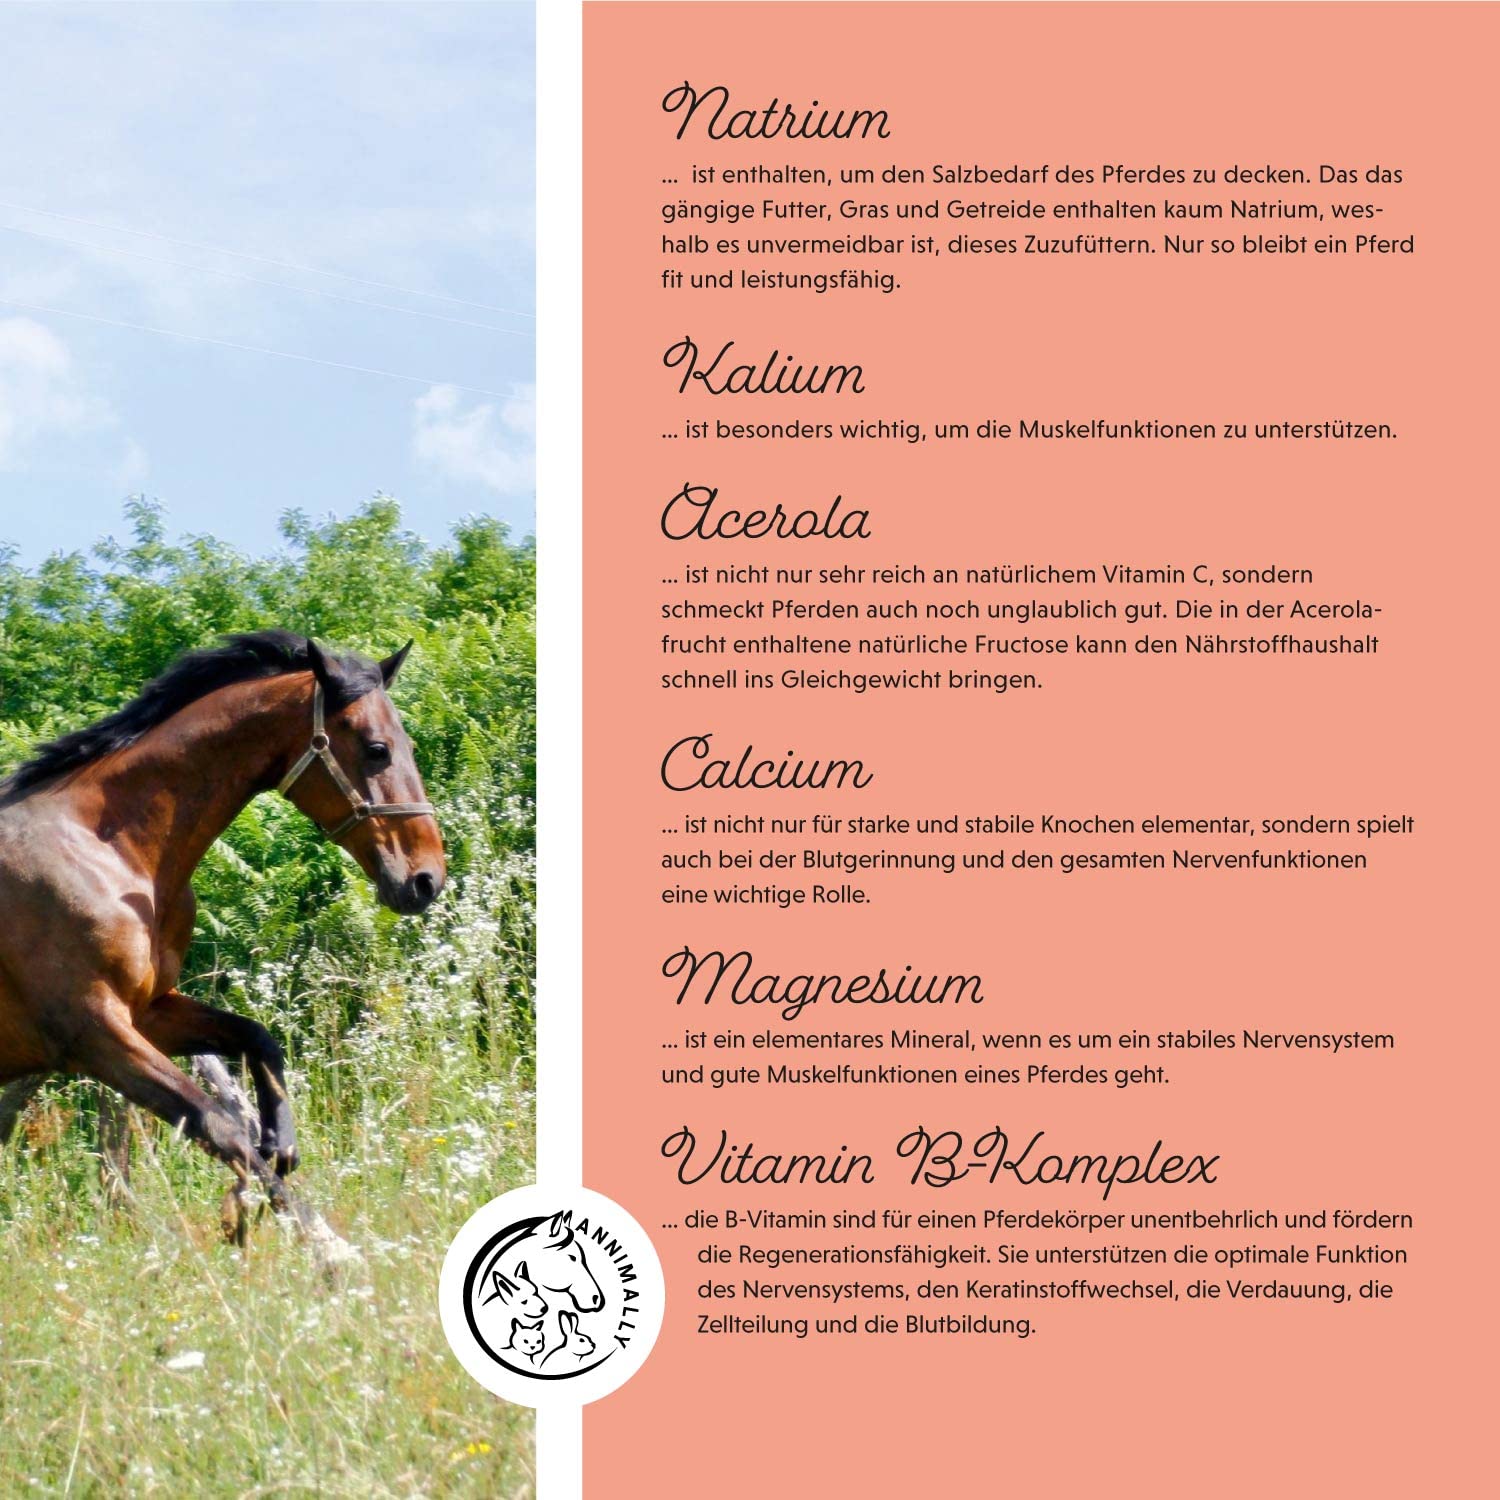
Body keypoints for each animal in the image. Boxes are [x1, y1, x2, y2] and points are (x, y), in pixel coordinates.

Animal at [0, 630, 444, 1231]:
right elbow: (219, 1127)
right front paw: (320, 1242)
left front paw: (282, 1143)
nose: (426, 880)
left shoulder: (148, 1011)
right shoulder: (94, 1034)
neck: (104, 851)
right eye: (377, 749)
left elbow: (256, 1039)